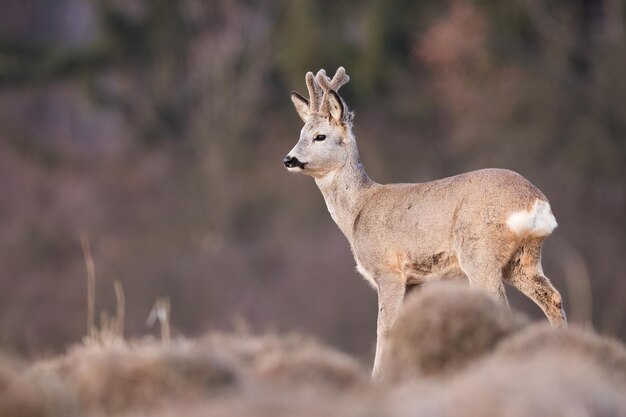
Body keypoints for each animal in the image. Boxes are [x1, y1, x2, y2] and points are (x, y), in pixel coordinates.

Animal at [282, 66, 564, 376]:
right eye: (300, 133)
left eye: (320, 136)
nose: (289, 159)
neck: (359, 208)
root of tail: (535, 201)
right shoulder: (416, 281)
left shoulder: (388, 270)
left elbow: (385, 329)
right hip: (522, 260)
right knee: (552, 298)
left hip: (479, 252)